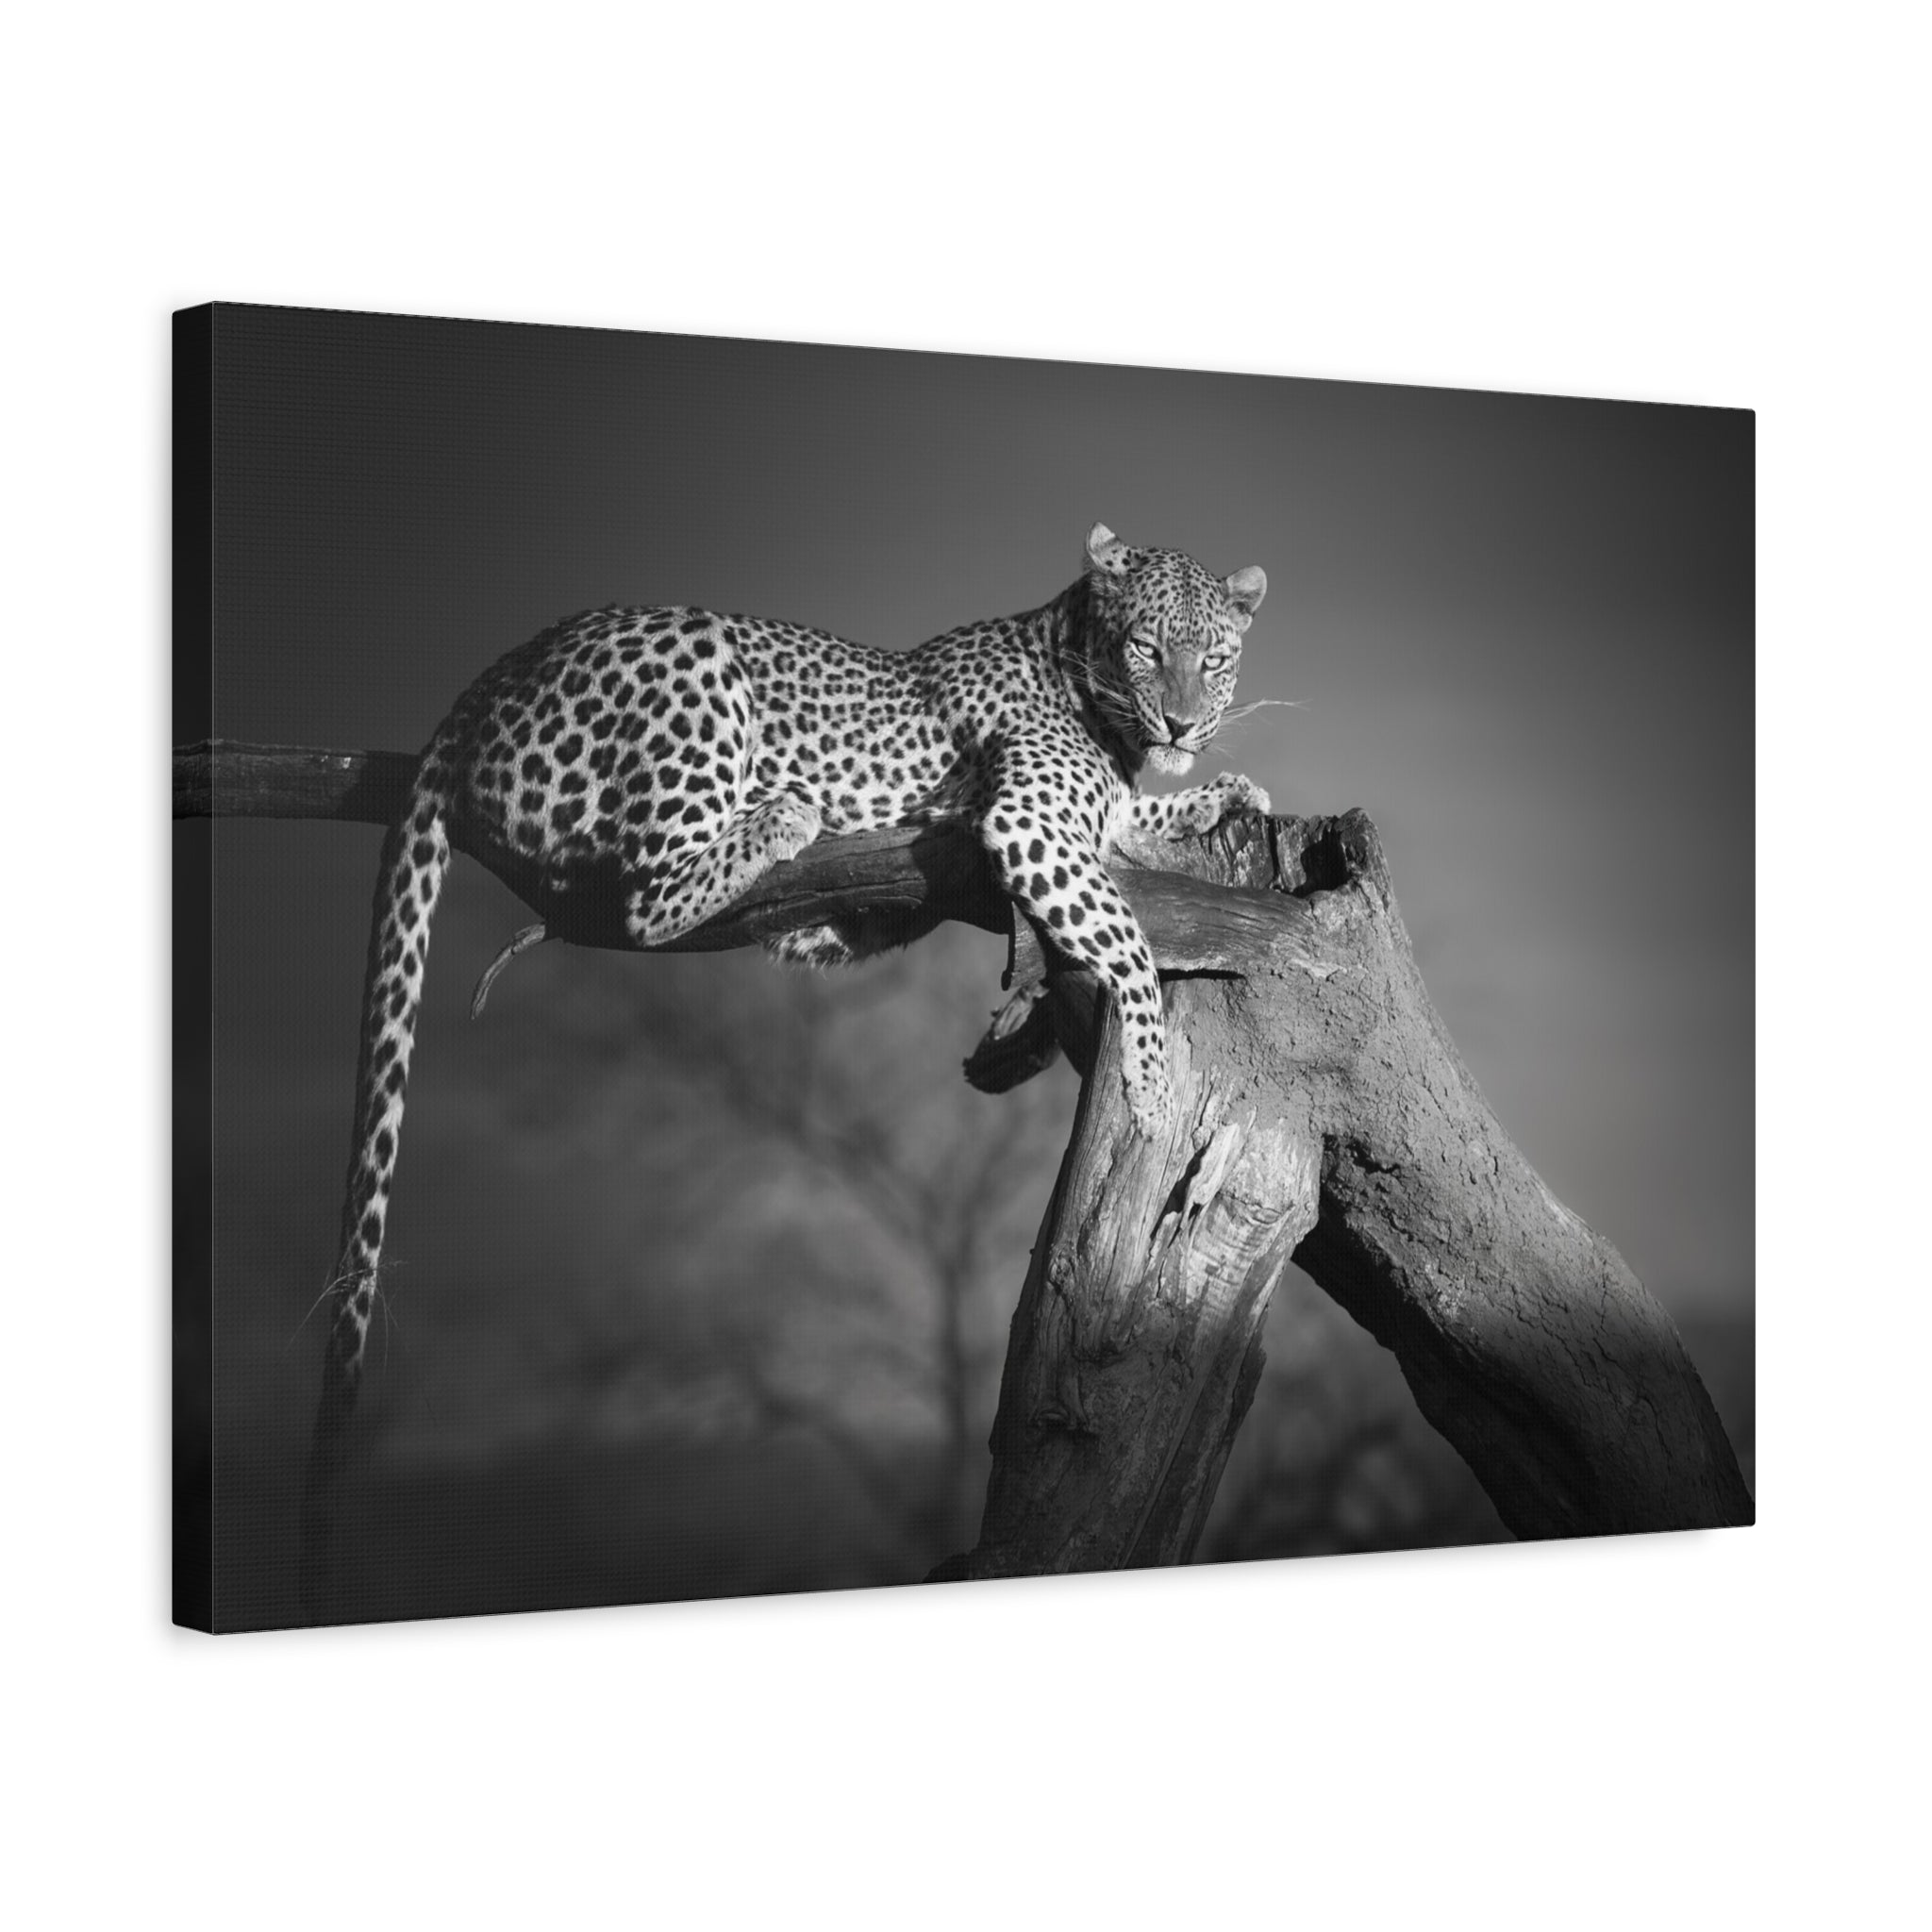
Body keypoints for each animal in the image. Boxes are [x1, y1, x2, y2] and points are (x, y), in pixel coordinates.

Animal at [300, 522, 1269, 1606]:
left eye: (1213, 659)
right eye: (1146, 648)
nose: (1182, 720)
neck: (1088, 682)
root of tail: (485, 682)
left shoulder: (1074, 826)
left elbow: (1138, 827)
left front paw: (1225, 791)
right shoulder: (1029, 823)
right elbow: (1130, 942)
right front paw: (1147, 1076)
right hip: (693, 680)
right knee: (643, 899)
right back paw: (784, 815)